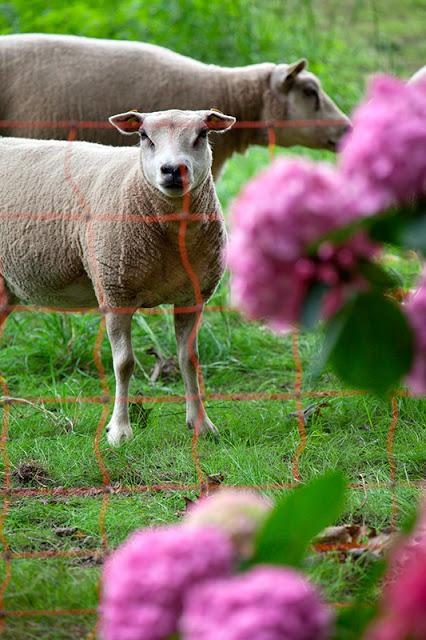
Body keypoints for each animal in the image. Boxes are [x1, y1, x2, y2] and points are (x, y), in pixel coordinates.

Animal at [0, 109, 235, 444]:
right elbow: (124, 364)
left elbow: (189, 359)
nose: (172, 170)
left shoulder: (193, 297)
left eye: (202, 134)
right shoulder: (114, 292)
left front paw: (201, 425)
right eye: (144, 136)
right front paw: (119, 431)